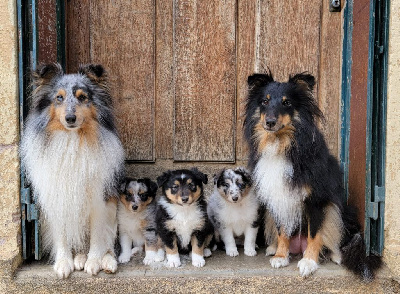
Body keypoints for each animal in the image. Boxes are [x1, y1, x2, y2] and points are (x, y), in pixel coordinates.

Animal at [18, 63, 124, 280]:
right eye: (59, 98)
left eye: (82, 97)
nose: (70, 118)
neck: (73, 140)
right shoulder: (56, 199)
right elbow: (62, 235)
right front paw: (63, 263)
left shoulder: (99, 200)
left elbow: (97, 235)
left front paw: (94, 262)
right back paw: (79, 258)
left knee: (108, 243)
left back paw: (107, 262)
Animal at [244, 69, 382, 280]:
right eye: (264, 101)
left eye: (287, 103)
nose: (270, 122)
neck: (282, 144)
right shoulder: (278, 196)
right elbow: (282, 230)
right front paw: (280, 257)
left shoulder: (316, 200)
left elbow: (314, 234)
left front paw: (308, 262)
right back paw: (273, 248)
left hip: (338, 209)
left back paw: (337, 255)